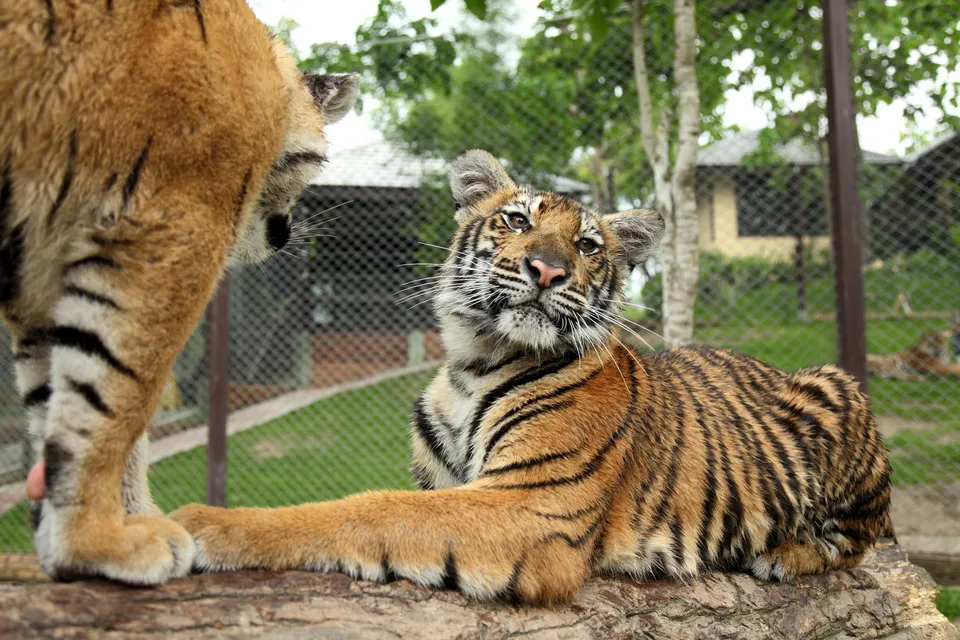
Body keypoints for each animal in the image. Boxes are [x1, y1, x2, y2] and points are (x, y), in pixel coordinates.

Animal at [2, 0, 358, 584]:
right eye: (309, 167)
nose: (282, 234)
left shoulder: (48, 270)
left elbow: (60, 402)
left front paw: (107, 527)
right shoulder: (169, 231)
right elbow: (114, 403)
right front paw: (100, 539)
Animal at [171, 149, 894, 604]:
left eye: (589, 245)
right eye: (517, 219)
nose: (548, 269)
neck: (476, 358)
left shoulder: (529, 501)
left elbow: (367, 509)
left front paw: (204, 524)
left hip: (835, 386)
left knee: (854, 543)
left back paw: (780, 554)